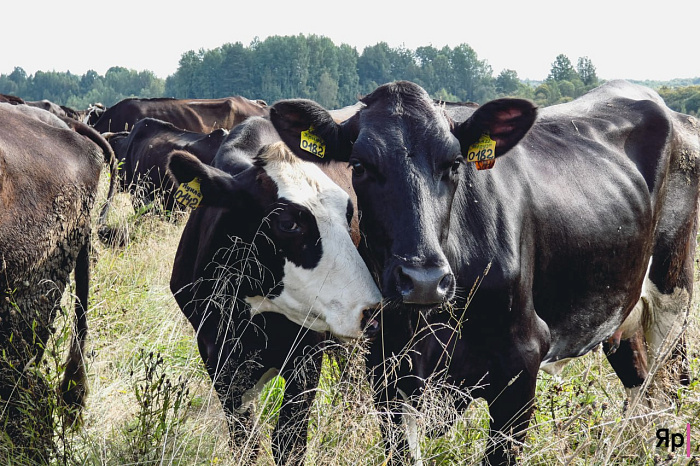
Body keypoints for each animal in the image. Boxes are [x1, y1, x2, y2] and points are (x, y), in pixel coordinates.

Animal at [167, 115, 380, 462]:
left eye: (349, 214)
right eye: (288, 223)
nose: (369, 309)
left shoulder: (306, 355)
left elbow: (288, 442)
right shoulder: (217, 359)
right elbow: (245, 442)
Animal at [268, 82, 700, 464]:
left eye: (454, 163)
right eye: (359, 166)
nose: (423, 282)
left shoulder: (521, 365)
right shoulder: (388, 371)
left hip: (673, 296)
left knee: (671, 389)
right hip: (622, 314)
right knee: (640, 385)